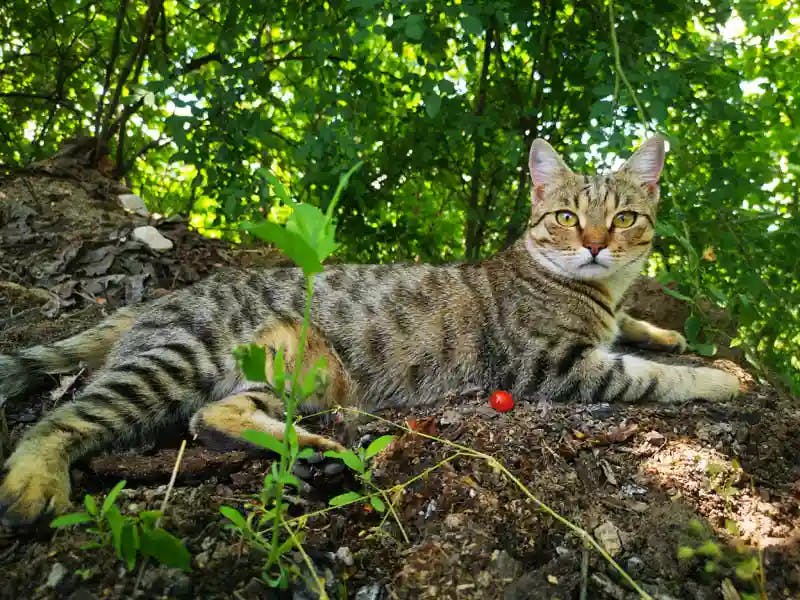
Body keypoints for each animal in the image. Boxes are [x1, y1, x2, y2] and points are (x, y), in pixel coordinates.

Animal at [0, 135, 736, 524]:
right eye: (564, 216)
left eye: (623, 219)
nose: (593, 245)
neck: (592, 290)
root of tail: (160, 300)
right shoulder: (554, 364)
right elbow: (649, 376)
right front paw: (719, 377)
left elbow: (635, 328)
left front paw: (663, 332)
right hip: (181, 359)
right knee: (67, 418)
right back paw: (34, 478)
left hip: (301, 372)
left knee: (214, 416)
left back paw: (320, 452)